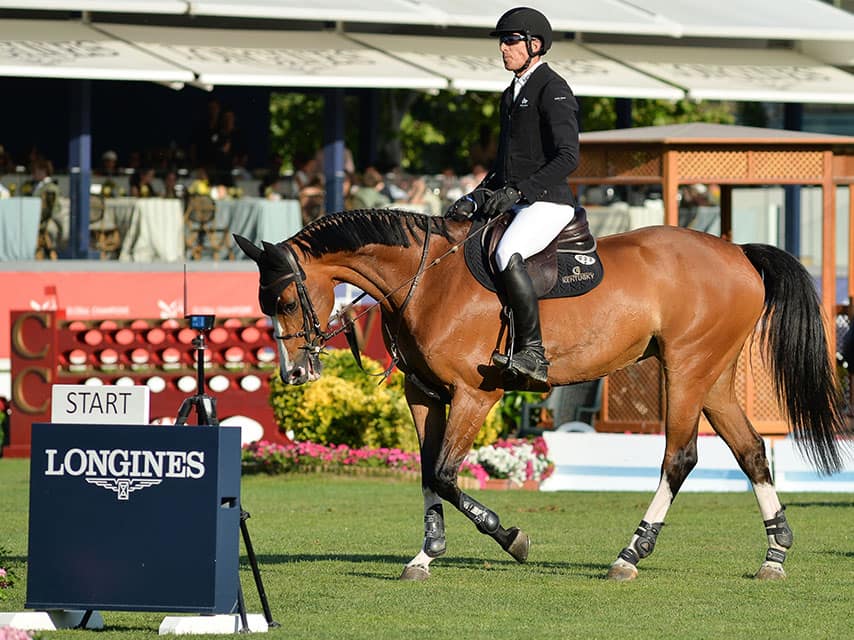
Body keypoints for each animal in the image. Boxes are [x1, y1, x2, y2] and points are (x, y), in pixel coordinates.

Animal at [234, 208, 849, 582]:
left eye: (284, 301)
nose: (293, 374)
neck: (426, 279)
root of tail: (738, 252)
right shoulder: (423, 394)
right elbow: (428, 474)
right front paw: (425, 555)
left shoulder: (474, 395)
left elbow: (446, 475)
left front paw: (512, 538)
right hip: (713, 376)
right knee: (750, 452)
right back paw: (775, 553)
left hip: (686, 368)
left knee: (680, 457)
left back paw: (630, 554)